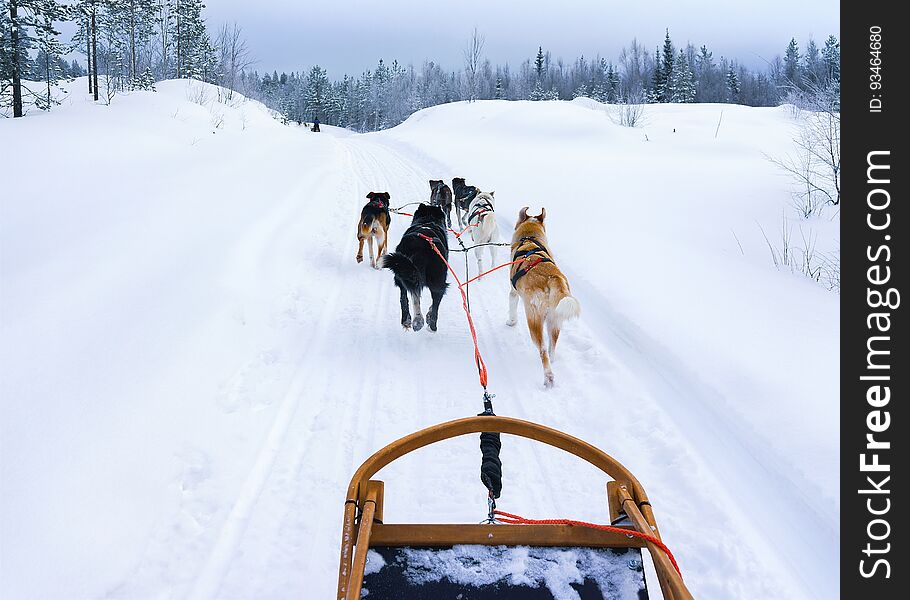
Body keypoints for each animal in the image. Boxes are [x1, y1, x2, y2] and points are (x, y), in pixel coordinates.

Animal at [510, 206, 580, 386]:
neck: (530, 238)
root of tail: (553, 277)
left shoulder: (513, 292)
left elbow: (511, 306)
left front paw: (511, 322)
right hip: (555, 320)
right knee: (552, 347)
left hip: (534, 319)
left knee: (542, 350)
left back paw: (548, 377)